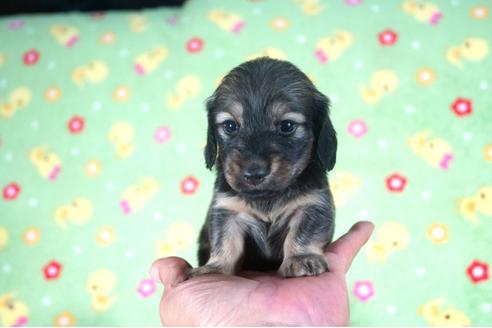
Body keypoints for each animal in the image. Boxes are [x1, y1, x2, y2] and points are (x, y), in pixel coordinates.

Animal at [194, 57, 336, 278]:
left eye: (287, 126)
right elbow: (225, 241)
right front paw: (215, 267)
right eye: (230, 126)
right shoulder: (227, 210)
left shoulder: (312, 204)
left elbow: (304, 233)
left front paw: (301, 257)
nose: (254, 174)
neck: (266, 199)